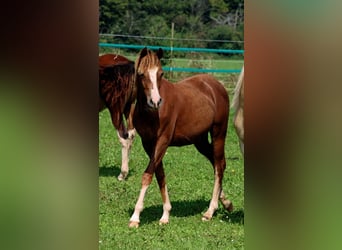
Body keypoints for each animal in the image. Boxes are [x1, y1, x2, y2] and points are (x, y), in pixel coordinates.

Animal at [128, 47, 232, 228]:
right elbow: (159, 174)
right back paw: (226, 202)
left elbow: (148, 175)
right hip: (200, 141)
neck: (150, 113)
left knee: (219, 166)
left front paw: (135, 217)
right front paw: (166, 214)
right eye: (141, 74)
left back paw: (210, 211)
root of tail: (216, 85)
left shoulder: (162, 141)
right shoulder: (148, 144)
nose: (156, 101)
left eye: (161, 73)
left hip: (219, 133)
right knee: (216, 163)